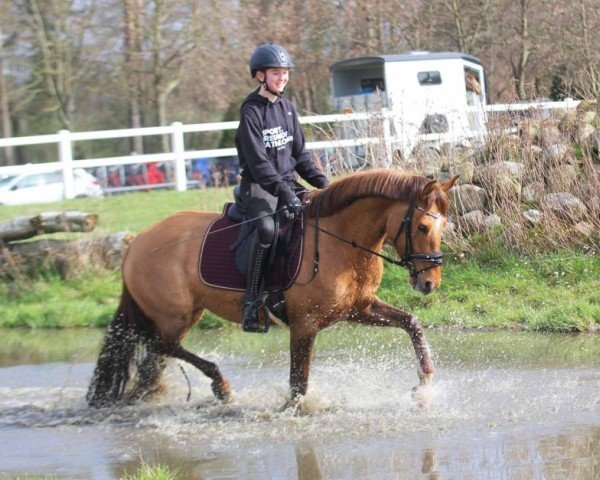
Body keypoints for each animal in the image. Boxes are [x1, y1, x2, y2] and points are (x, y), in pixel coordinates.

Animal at [86, 170, 458, 408]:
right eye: (422, 227)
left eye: (443, 226)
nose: (429, 283)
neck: (341, 241)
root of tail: (137, 242)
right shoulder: (305, 324)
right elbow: (298, 384)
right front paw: (290, 412)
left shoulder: (358, 309)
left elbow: (411, 323)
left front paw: (424, 383)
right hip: (172, 315)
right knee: (160, 344)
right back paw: (219, 385)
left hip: (186, 313)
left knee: (157, 355)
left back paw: (149, 394)